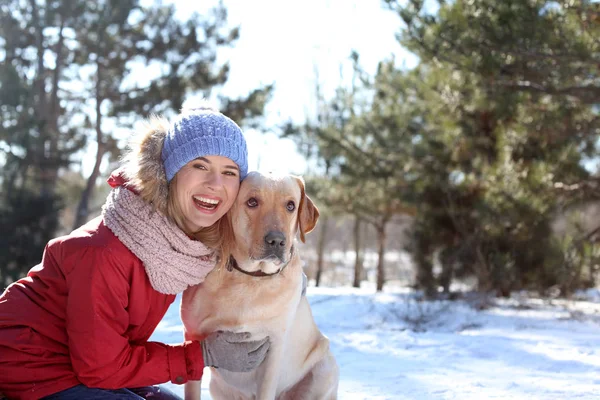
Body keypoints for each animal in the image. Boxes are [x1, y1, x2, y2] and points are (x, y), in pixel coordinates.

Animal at [180, 173, 340, 400]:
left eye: (290, 205)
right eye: (252, 202)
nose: (276, 241)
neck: (252, 277)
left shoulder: (274, 347)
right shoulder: (193, 334)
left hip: (324, 368)